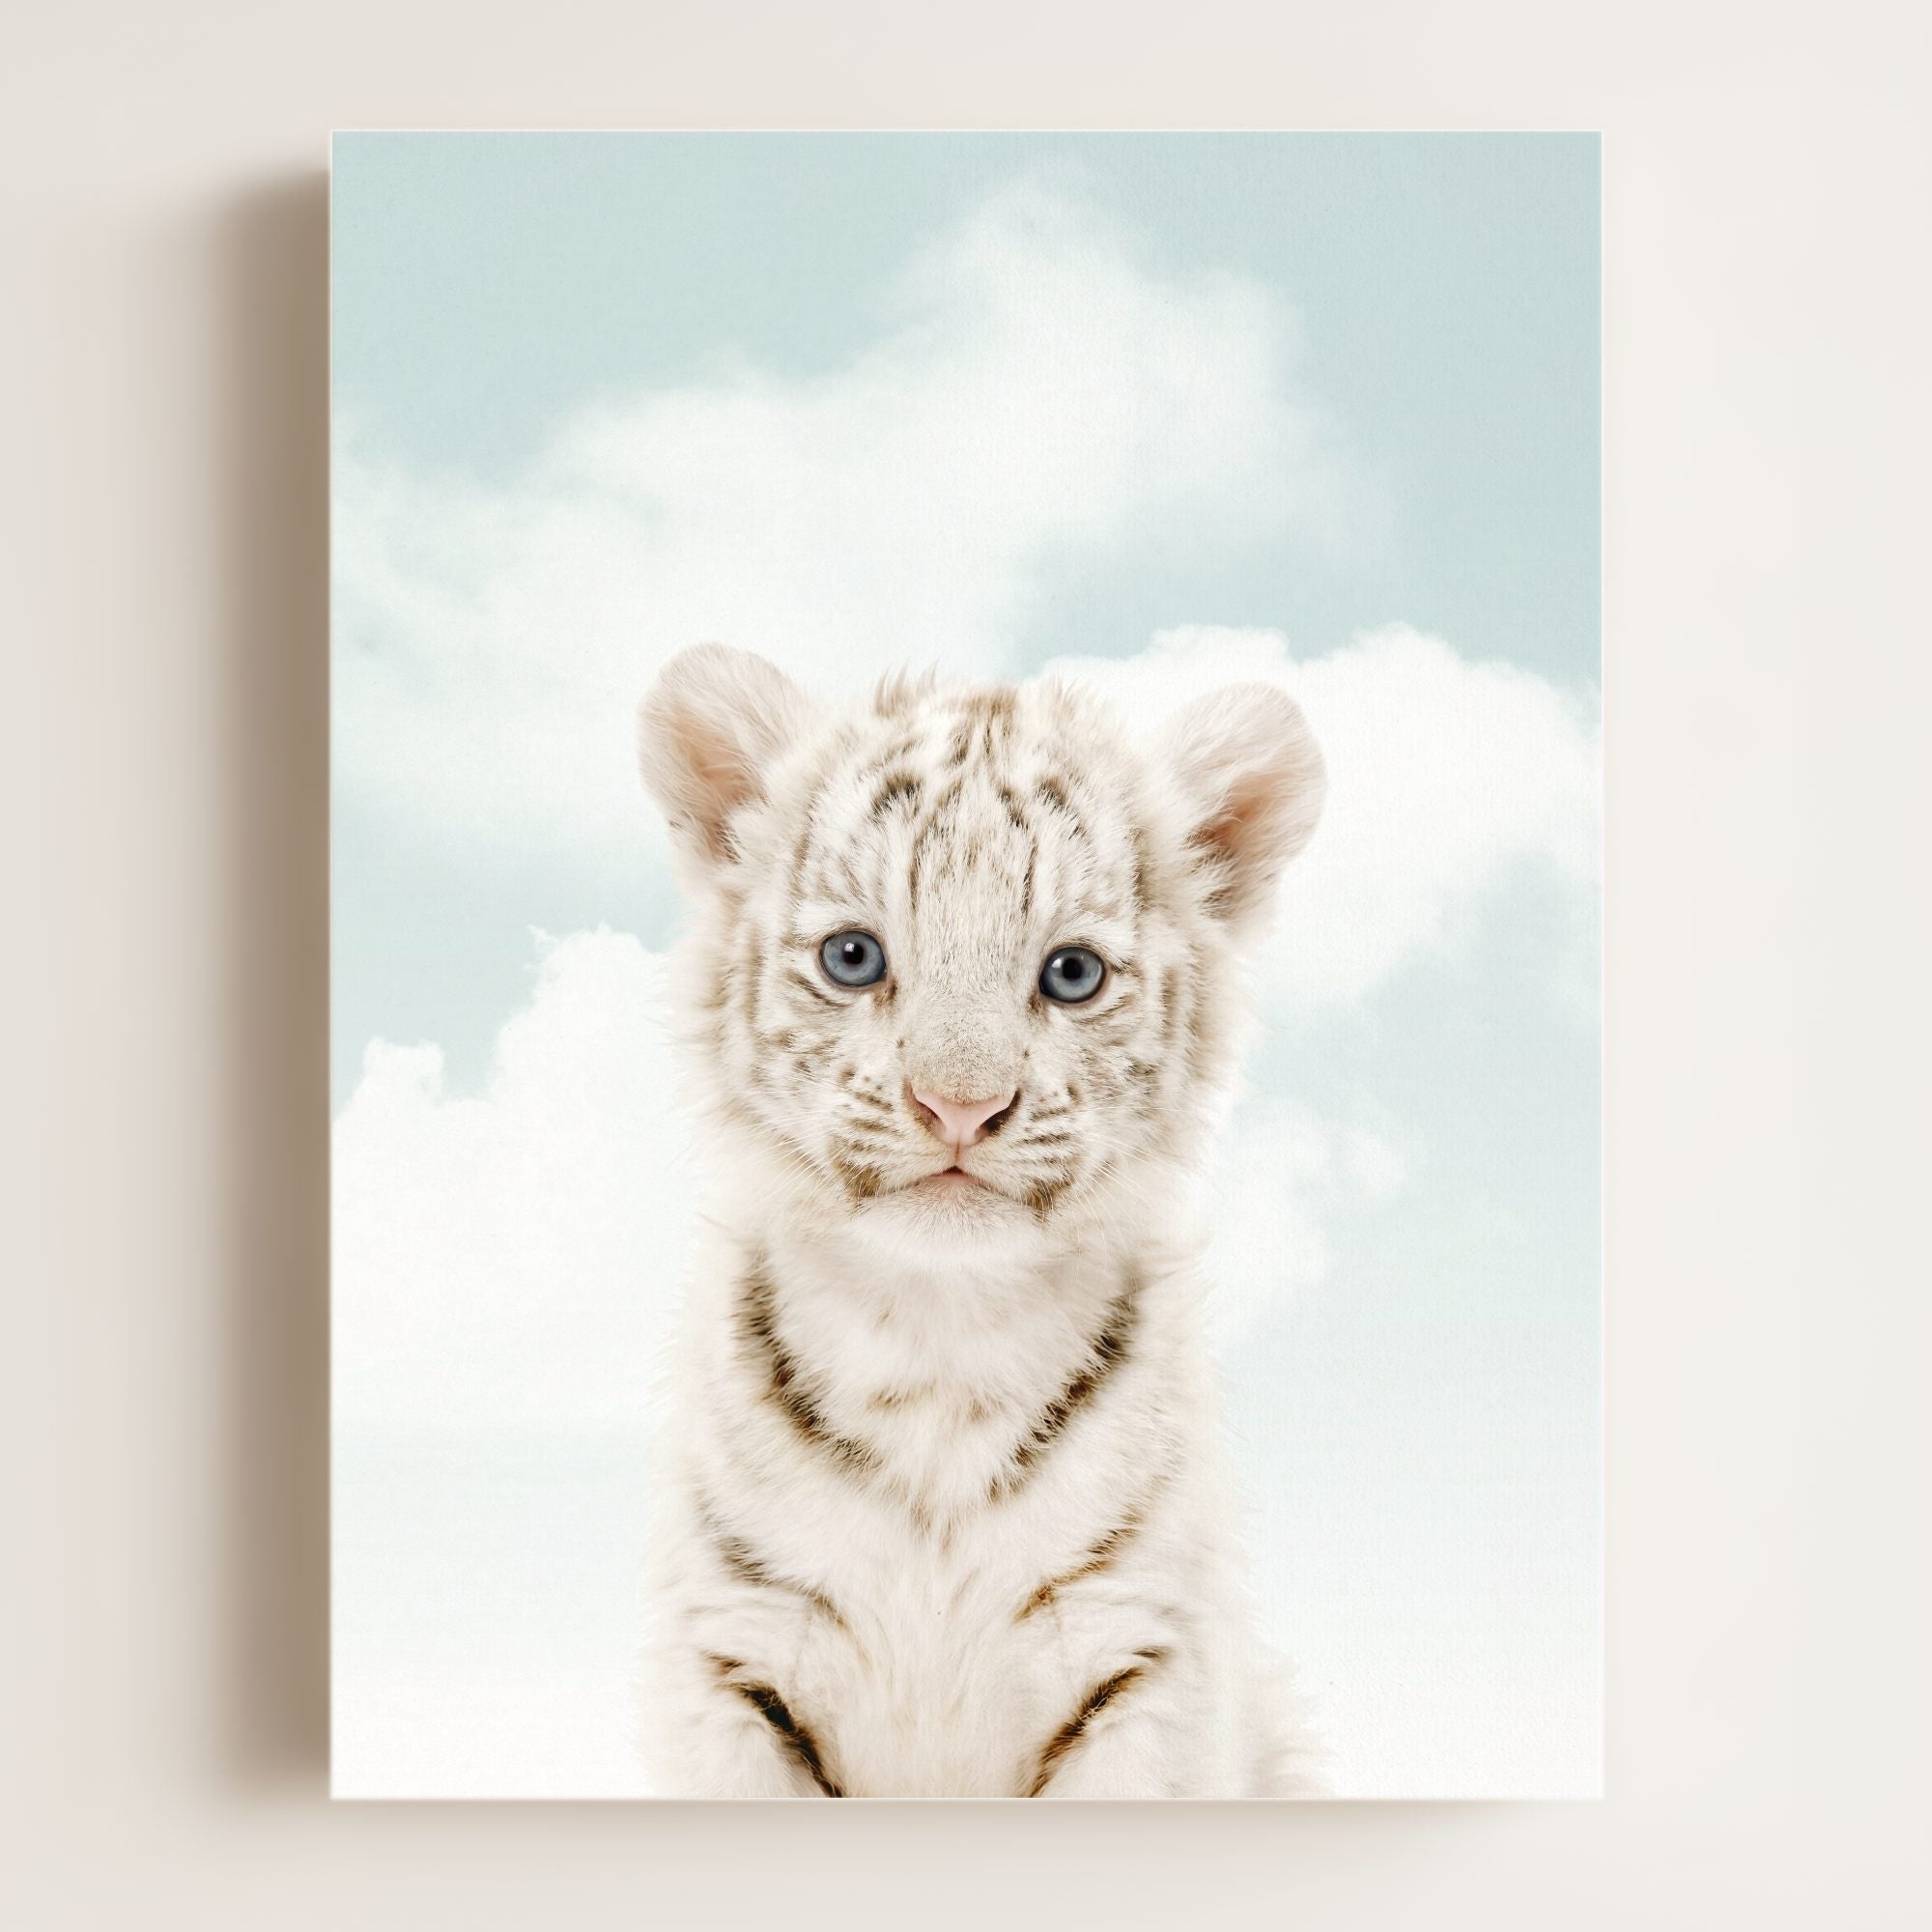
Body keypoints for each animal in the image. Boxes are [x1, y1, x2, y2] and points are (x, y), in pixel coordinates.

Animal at [634, 641, 1328, 1797]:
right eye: (853, 957)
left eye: (1072, 972)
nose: (958, 1105)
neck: (937, 1339)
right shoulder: (733, 1655)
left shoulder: (1143, 1657)